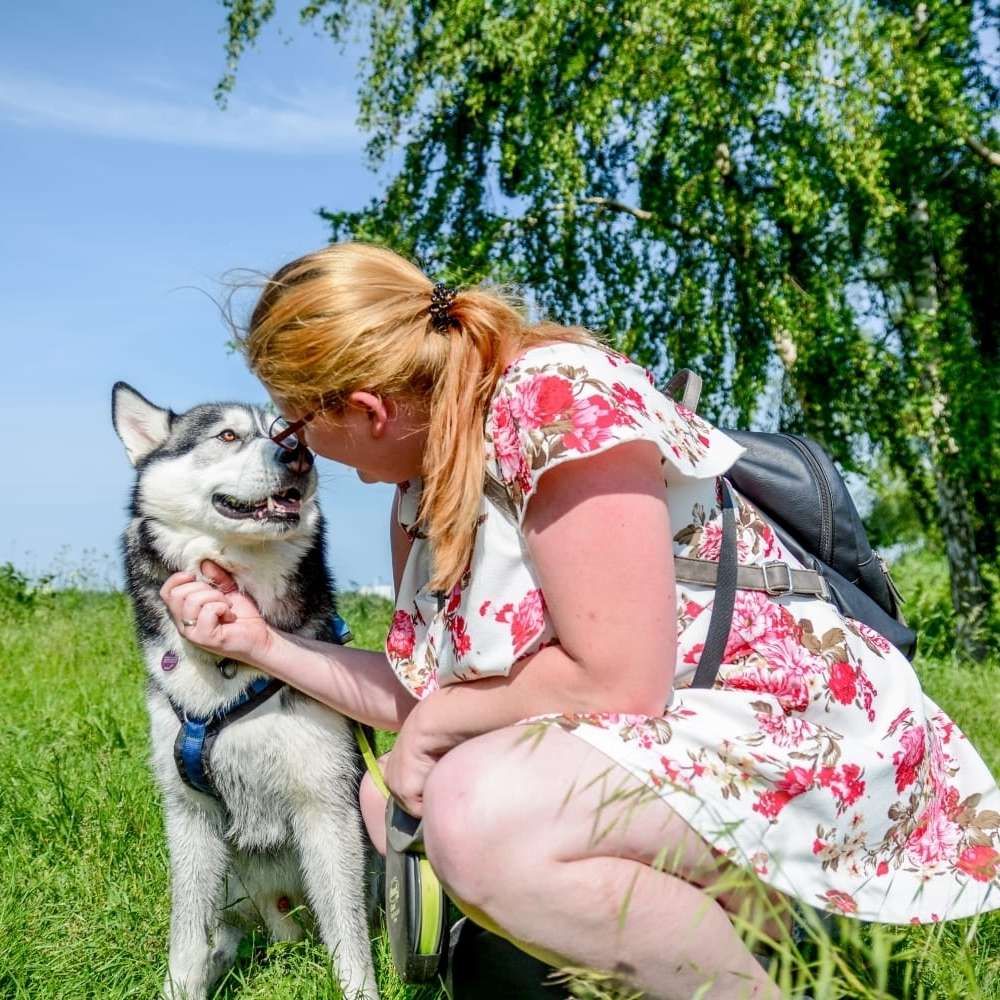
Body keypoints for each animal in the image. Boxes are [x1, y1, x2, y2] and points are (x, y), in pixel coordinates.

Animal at [111, 382, 378, 1000]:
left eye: (286, 432)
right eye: (228, 434)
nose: (298, 457)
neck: (229, 667)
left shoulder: (327, 803)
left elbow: (347, 930)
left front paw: (360, 990)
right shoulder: (189, 814)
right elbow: (187, 931)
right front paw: (182, 986)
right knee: (232, 930)